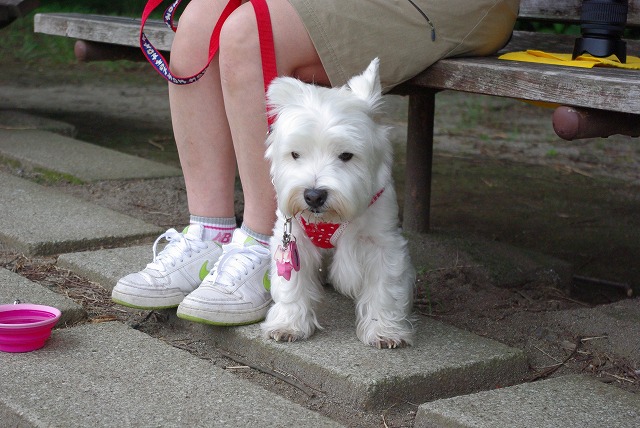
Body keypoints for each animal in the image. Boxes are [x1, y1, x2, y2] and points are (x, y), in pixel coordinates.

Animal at [260, 58, 416, 350]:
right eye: (295, 154)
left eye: (346, 155)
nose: (313, 195)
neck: (329, 219)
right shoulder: (294, 239)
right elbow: (291, 286)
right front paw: (288, 324)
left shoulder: (382, 242)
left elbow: (384, 288)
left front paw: (384, 331)